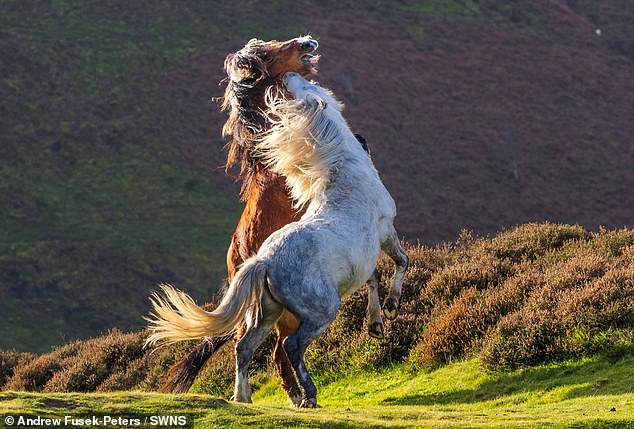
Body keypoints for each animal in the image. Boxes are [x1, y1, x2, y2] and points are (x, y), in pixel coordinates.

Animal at [146, 72, 408, 408]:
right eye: (311, 88)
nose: (292, 76)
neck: (346, 174)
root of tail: (264, 261)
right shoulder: (387, 231)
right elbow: (401, 262)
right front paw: (391, 308)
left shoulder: (365, 257)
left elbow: (373, 279)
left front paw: (376, 323)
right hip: (319, 312)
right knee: (290, 346)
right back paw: (308, 396)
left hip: (267, 313)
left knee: (244, 346)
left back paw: (242, 397)